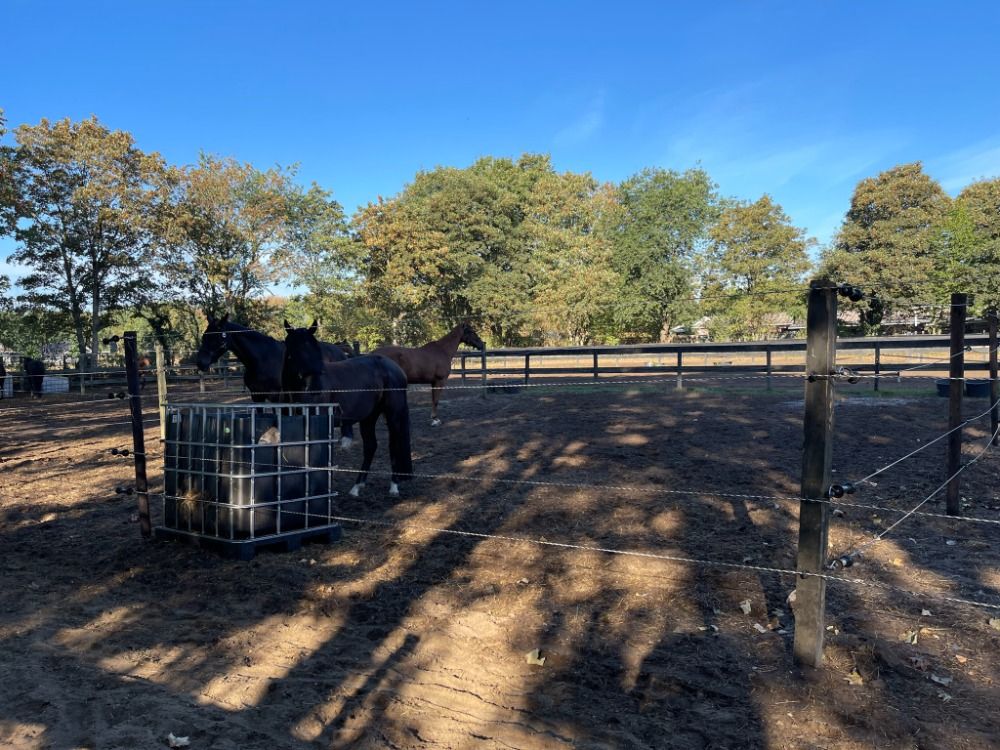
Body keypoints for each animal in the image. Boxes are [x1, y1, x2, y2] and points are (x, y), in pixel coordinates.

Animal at [195, 314, 356, 447]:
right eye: (204, 336)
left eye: (217, 337)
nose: (201, 362)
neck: (263, 359)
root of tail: (340, 351)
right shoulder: (256, 396)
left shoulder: (276, 397)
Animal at [283, 322, 412, 497]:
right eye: (296, 349)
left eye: (315, 347)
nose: (316, 387)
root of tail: (395, 368)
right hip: (369, 417)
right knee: (370, 446)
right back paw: (356, 487)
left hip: (393, 415)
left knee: (394, 445)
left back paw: (393, 486)